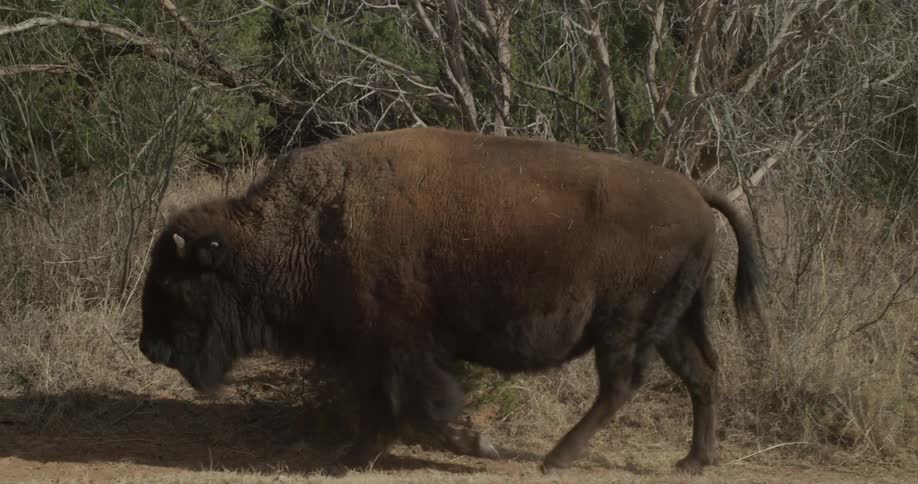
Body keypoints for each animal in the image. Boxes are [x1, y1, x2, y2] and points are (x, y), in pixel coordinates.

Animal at [138, 127, 766, 475]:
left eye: (173, 283)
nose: (150, 347)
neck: (307, 228)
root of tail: (695, 192)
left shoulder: (398, 349)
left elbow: (419, 409)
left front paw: (477, 444)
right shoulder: (375, 355)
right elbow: (386, 409)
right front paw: (352, 456)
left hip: (624, 327)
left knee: (621, 385)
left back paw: (557, 458)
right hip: (675, 321)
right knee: (700, 375)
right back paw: (693, 461)